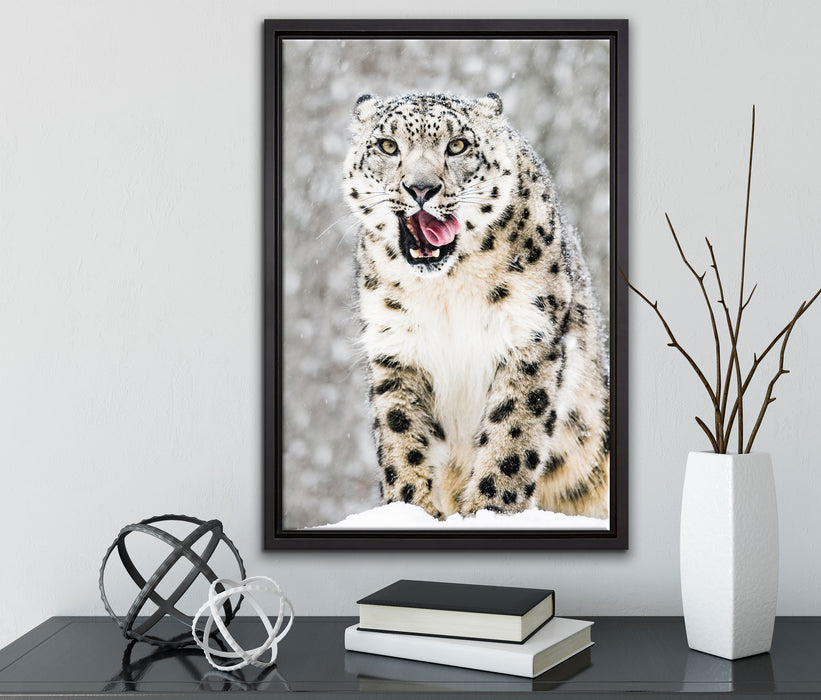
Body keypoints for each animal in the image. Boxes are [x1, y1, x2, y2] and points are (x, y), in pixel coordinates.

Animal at [342, 92, 610, 521]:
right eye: (387, 145)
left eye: (457, 146)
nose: (421, 188)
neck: (447, 290)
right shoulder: (397, 347)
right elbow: (402, 436)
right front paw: (412, 509)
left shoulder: (529, 335)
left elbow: (512, 435)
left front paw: (491, 509)